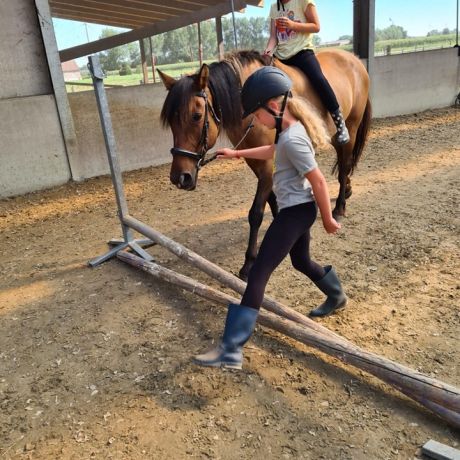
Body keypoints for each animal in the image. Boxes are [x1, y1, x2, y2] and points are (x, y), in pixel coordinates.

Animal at [158, 50, 370, 280]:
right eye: (171, 122)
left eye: (196, 116)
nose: (180, 177)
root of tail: (354, 58)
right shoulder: (257, 161)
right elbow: (271, 199)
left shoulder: (267, 163)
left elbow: (256, 212)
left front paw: (249, 263)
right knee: (343, 164)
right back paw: (347, 190)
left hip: (351, 126)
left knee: (345, 165)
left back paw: (339, 207)